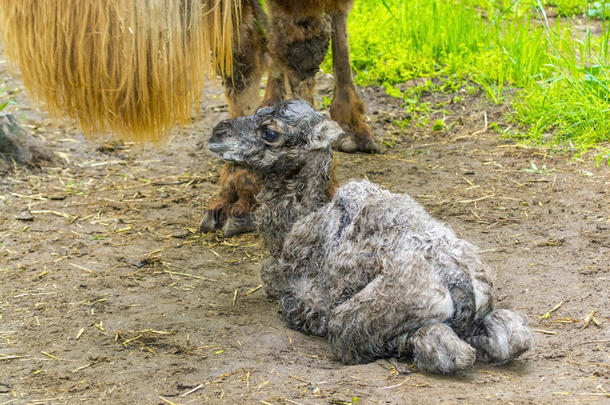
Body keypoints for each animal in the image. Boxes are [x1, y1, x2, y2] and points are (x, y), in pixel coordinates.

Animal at [207, 100, 528, 372]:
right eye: (259, 109)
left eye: (271, 132)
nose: (217, 132)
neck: (301, 218)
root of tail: (458, 279)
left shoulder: (295, 283)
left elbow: (277, 286)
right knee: (511, 336)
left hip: (362, 316)